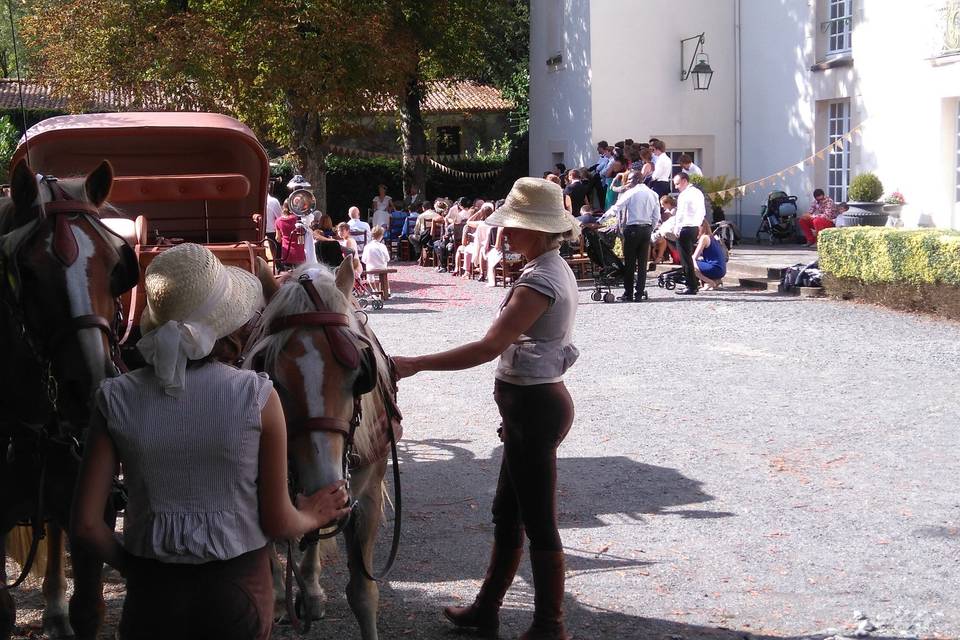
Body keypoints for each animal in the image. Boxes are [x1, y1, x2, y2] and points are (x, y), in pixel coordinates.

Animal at [248, 262, 402, 640]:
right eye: (270, 375)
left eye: (360, 374)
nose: (326, 486)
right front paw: (279, 597)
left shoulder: (364, 495)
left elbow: (362, 593)